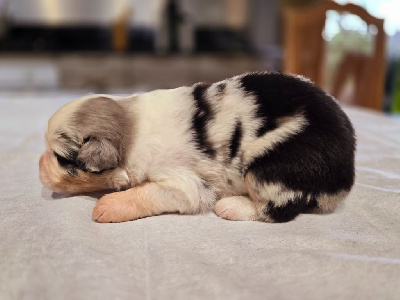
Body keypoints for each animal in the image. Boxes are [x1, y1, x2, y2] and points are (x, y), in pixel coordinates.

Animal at [38, 72, 356, 223]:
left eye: (60, 158)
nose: (38, 167)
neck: (131, 130)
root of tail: (345, 176)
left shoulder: (184, 184)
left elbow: (144, 193)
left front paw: (108, 205)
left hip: (270, 167)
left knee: (278, 208)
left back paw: (233, 206)